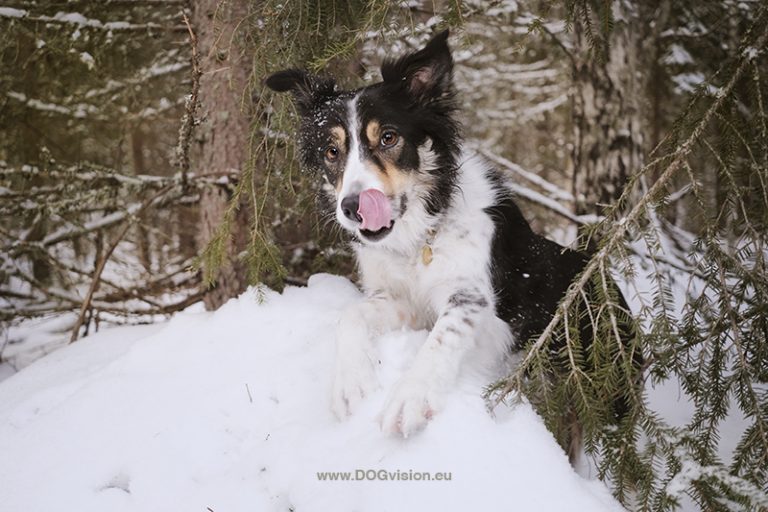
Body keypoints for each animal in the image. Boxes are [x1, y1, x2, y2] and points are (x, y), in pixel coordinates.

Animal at [268, 30, 640, 442]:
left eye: (388, 137)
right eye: (332, 152)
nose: (352, 207)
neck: (419, 237)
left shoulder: (473, 299)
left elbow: (445, 334)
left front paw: (410, 398)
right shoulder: (405, 302)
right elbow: (351, 314)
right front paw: (350, 384)